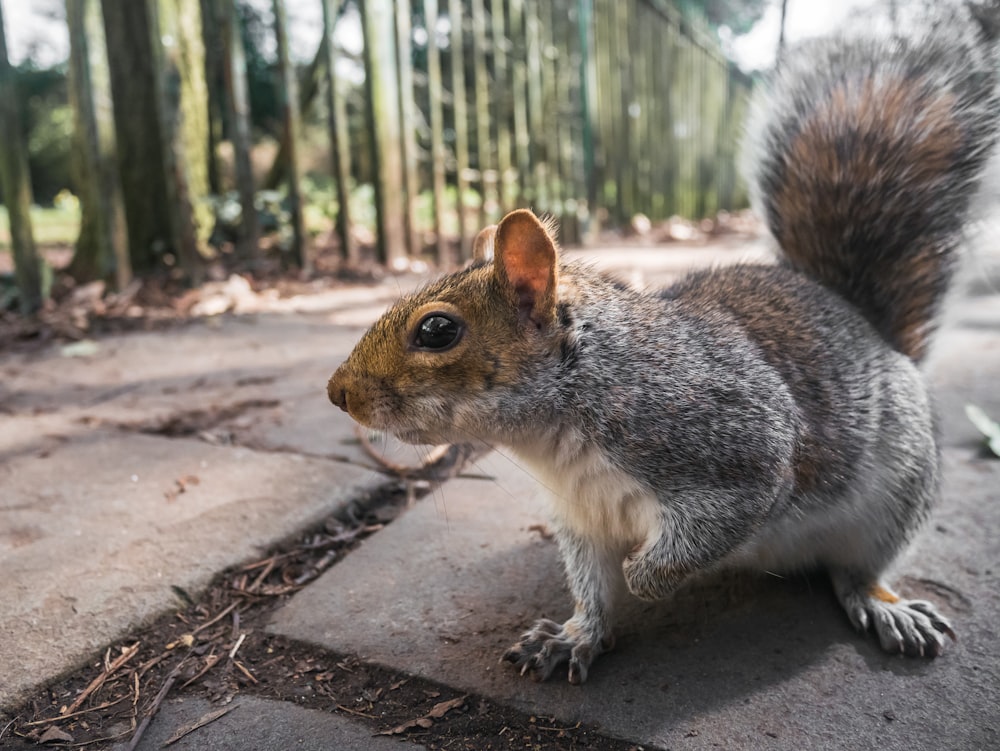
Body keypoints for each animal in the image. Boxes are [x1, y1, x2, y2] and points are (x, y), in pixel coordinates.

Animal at [330, 13, 1000, 688]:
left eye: (437, 331)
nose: (338, 394)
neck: (565, 419)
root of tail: (869, 325)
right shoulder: (582, 516)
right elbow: (591, 585)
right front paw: (576, 636)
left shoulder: (733, 447)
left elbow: (716, 523)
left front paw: (646, 578)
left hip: (898, 494)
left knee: (858, 570)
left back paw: (885, 605)